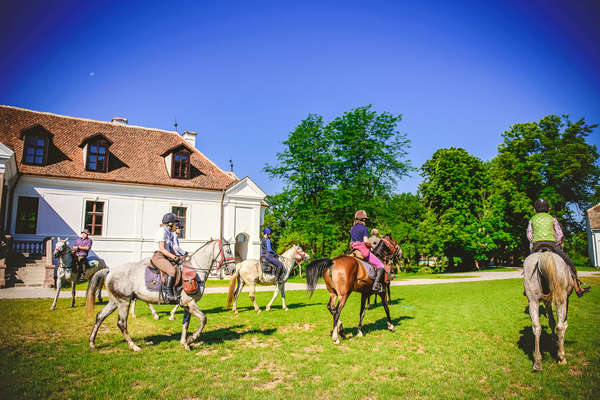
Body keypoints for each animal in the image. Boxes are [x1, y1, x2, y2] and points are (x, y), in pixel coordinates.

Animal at [87, 239, 237, 352]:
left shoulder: (187, 305)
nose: (233, 269)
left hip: (115, 302)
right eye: (228, 251)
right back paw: (134, 346)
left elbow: (186, 324)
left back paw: (92, 343)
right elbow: (203, 319)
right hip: (124, 302)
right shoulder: (190, 303)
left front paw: (184, 343)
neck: (196, 269)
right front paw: (191, 339)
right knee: (121, 323)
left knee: (100, 316)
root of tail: (110, 271)